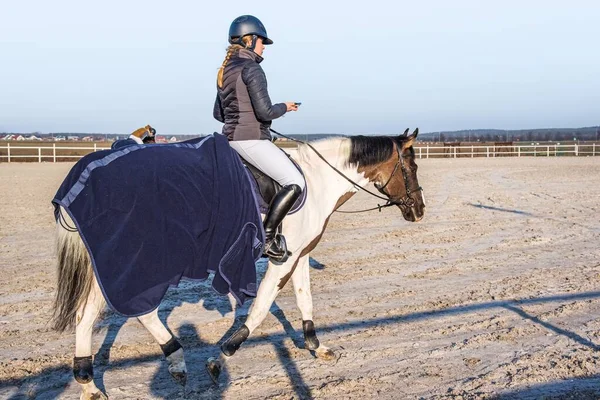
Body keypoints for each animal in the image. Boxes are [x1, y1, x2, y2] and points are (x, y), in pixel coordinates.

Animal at [52, 129, 426, 400]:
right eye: (412, 167)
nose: (420, 210)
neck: (318, 180)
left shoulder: (301, 253)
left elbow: (305, 299)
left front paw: (317, 348)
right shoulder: (283, 260)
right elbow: (260, 308)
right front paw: (220, 359)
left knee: (93, 313)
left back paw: (95, 382)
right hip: (142, 254)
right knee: (129, 308)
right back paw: (170, 361)